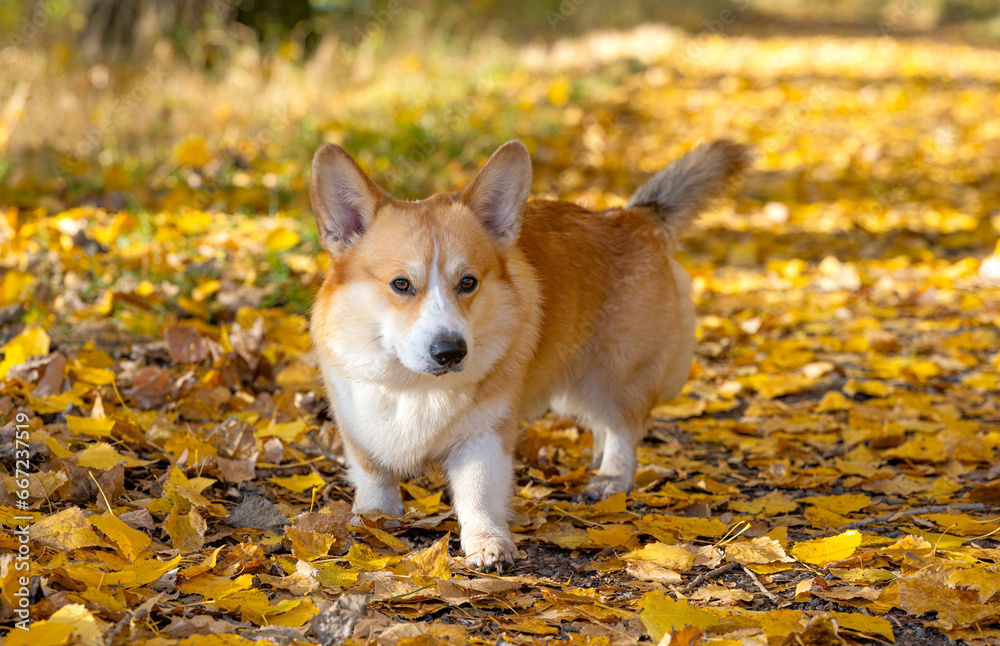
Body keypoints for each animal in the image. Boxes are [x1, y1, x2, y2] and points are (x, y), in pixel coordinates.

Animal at [308, 140, 748, 572]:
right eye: (401, 284)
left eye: (468, 282)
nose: (451, 352)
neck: (411, 386)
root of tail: (632, 216)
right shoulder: (358, 425)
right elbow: (373, 480)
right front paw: (371, 524)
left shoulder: (485, 433)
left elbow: (479, 493)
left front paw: (488, 544)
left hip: (615, 373)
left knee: (622, 426)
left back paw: (610, 477)